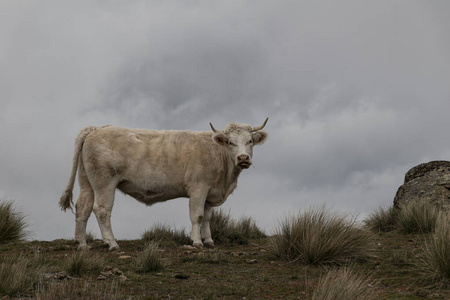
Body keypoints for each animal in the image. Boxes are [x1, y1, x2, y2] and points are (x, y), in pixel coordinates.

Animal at [61, 118, 268, 250]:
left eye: (250, 141)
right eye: (231, 142)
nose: (243, 158)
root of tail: (96, 128)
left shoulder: (210, 192)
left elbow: (208, 218)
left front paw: (209, 240)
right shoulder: (198, 188)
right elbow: (197, 216)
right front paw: (197, 242)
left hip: (87, 182)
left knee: (83, 208)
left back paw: (82, 245)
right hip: (104, 182)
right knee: (102, 210)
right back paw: (112, 244)